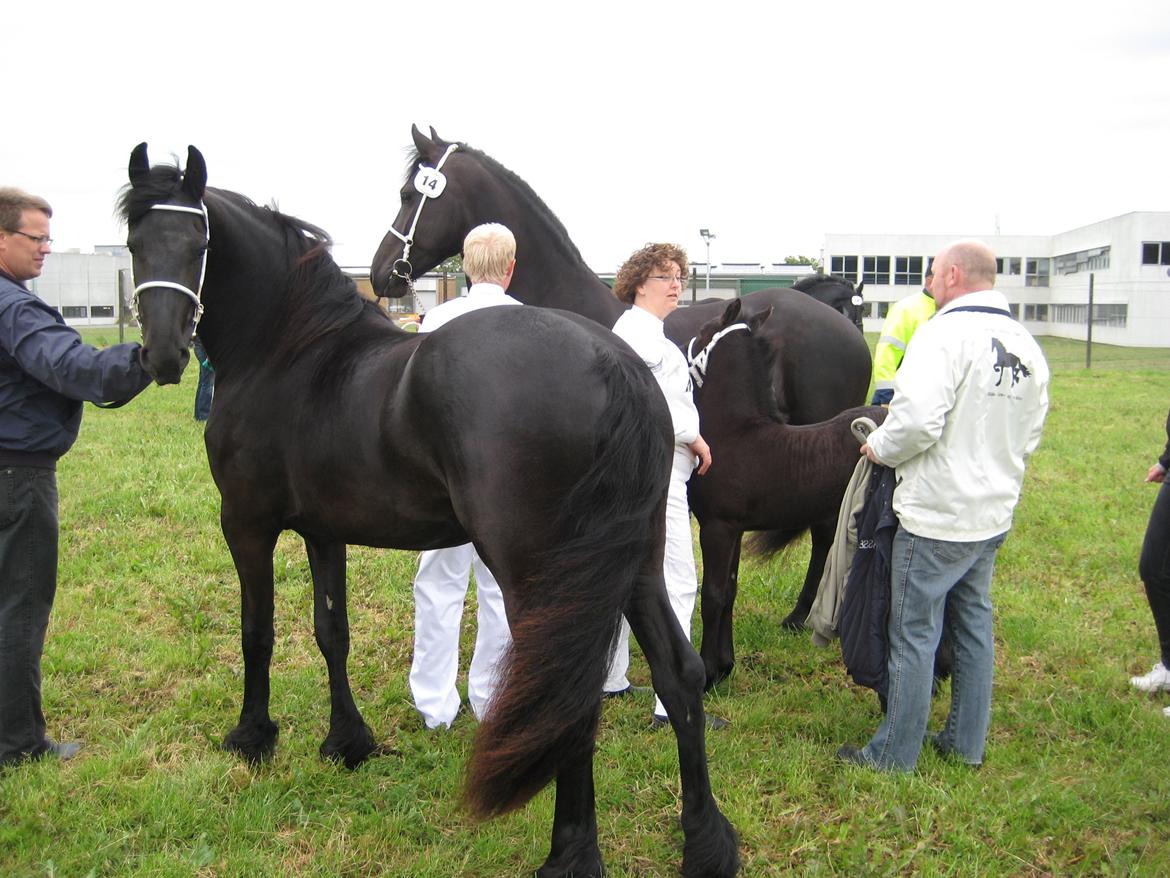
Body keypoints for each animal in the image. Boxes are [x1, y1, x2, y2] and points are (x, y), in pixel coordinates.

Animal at [121, 144, 739, 878]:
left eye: (200, 243)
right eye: (134, 242)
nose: (162, 356)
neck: (292, 352)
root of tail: (609, 362)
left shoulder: (245, 524)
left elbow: (257, 630)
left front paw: (252, 737)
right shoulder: (324, 532)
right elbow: (332, 631)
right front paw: (348, 742)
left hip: (542, 574)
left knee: (563, 696)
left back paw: (571, 853)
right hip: (634, 562)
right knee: (679, 674)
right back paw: (706, 842)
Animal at [683, 302, 884, 688]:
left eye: (700, 332)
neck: (736, 433)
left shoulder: (716, 527)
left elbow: (713, 594)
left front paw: (708, 674)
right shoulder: (734, 528)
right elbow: (729, 590)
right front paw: (726, 665)